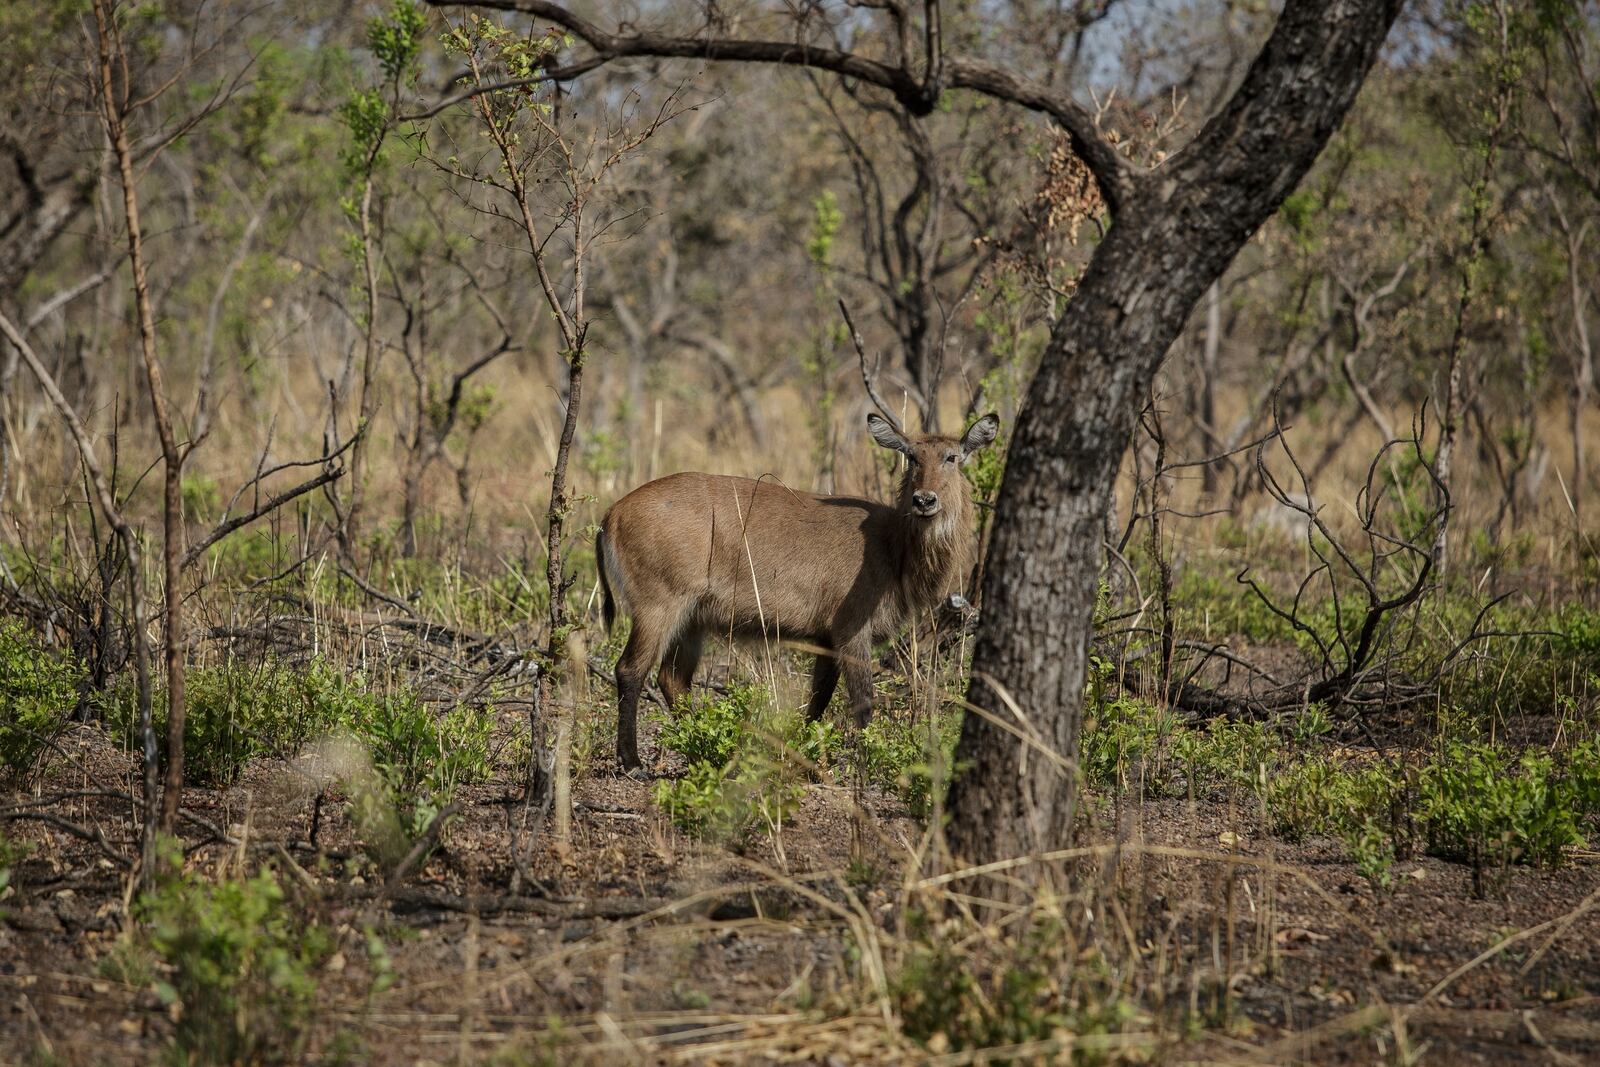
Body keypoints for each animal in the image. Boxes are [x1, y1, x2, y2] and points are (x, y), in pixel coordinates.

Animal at [601, 404, 998, 771]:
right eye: (912, 456)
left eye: (951, 457)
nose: (924, 500)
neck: (891, 546)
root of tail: (612, 513)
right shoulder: (851, 631)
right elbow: (863, 701)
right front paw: (866, 762)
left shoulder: (827, 637)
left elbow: (819, 699)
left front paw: (802, 756)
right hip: (659, 605)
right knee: (630, 670)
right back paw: (633, 762)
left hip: (692, 619)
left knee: (672, 679)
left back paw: (705, 749)